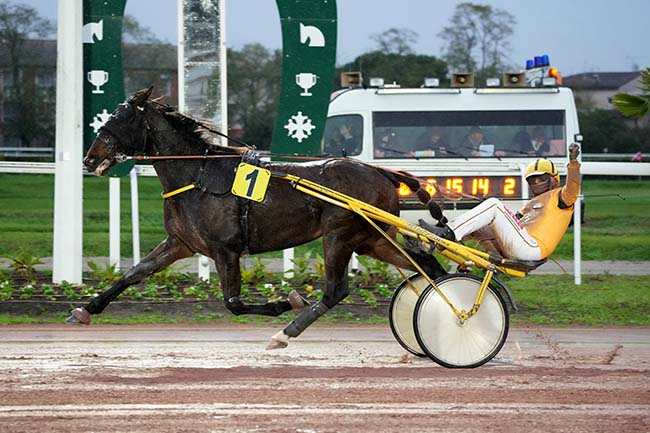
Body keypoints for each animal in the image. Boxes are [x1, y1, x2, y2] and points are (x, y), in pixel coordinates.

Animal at [72, 87, 446, 348]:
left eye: (118, 120)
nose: (89, 159)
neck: (199, 173)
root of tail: (382, 172)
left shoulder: (225, 250)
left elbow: (234, 303)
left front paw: (287, 301)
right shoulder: (181, 243)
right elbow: (134, 273)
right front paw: (85, 309)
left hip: (339, 236)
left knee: (336, 290)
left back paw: (285, 333)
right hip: (371, 239)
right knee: (428, 267)